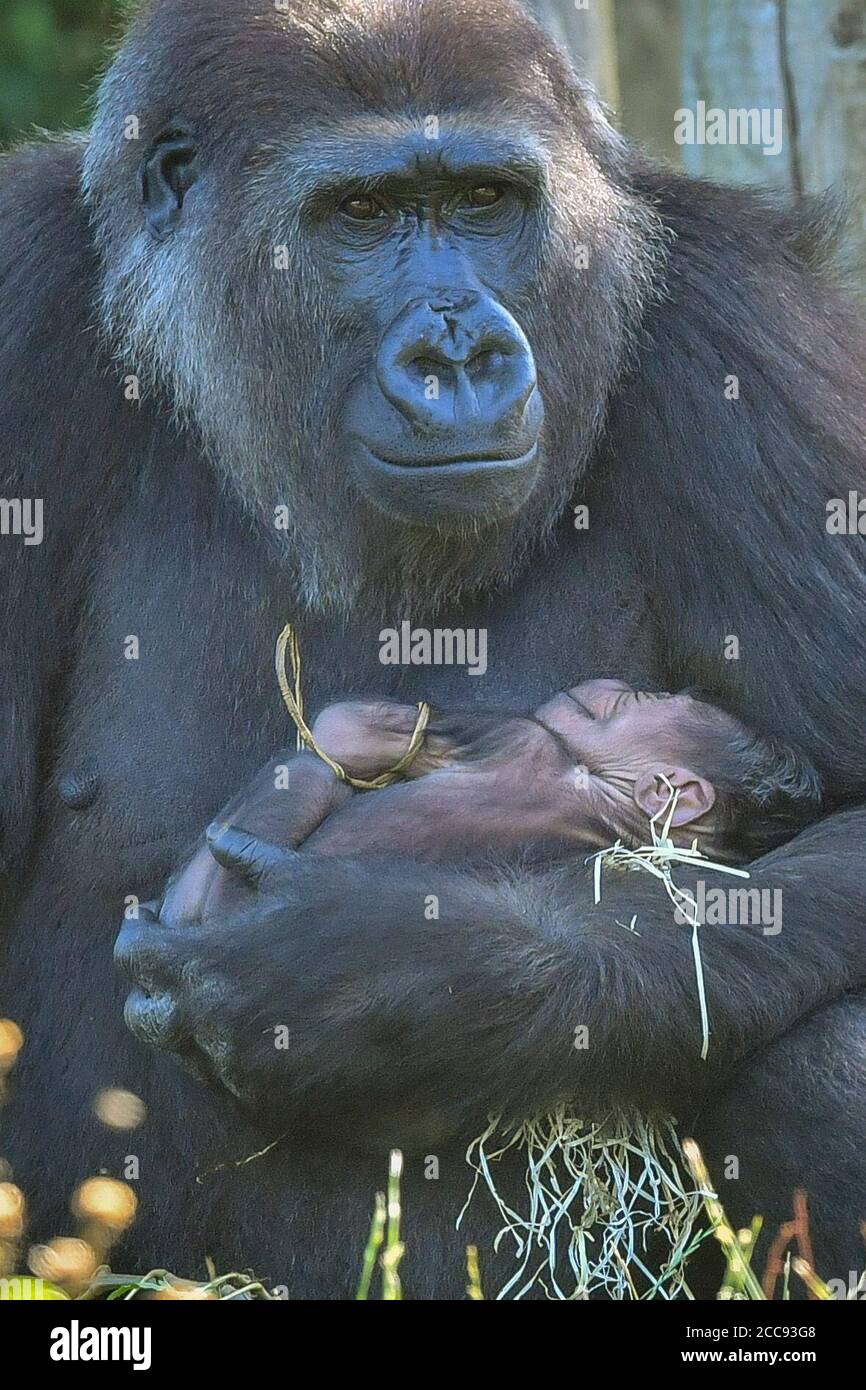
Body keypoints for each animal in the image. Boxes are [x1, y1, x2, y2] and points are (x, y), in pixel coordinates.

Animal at [1, 0, 866, 1301]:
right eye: (361, 216)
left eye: (482, 202)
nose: (459, 358)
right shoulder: (19, 298)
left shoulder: (747, 327)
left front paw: (392, 982)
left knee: (827, 1049)